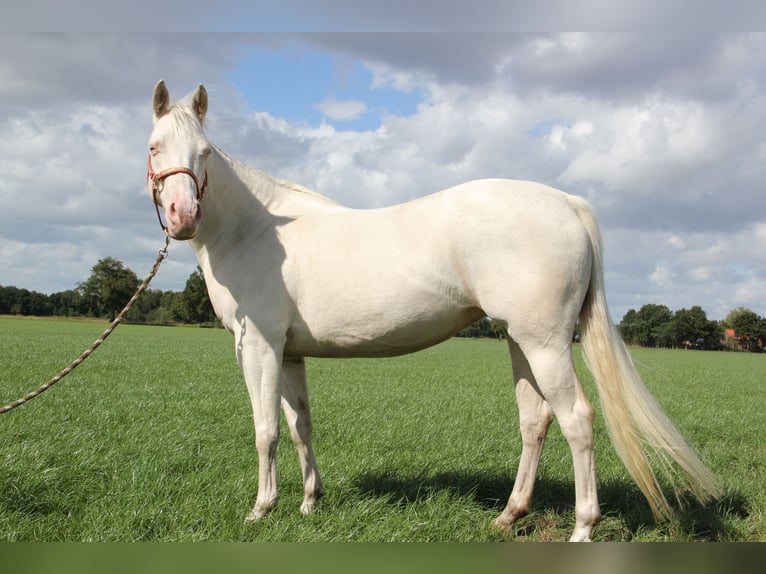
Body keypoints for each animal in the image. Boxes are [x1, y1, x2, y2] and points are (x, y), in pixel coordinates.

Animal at [146, 81, 719, 541]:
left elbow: (264, 429)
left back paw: (582, 528)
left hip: (546, 343)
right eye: (155, 147)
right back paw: (508, 516)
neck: (258, 230)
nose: (182, 215)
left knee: (576, 419)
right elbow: (299, 425)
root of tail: (565, 201)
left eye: (204, 152)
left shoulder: (259, 346)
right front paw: (310, 503)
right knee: (535, 420)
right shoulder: (288, 353)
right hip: (520, 340)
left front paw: (262, 510)